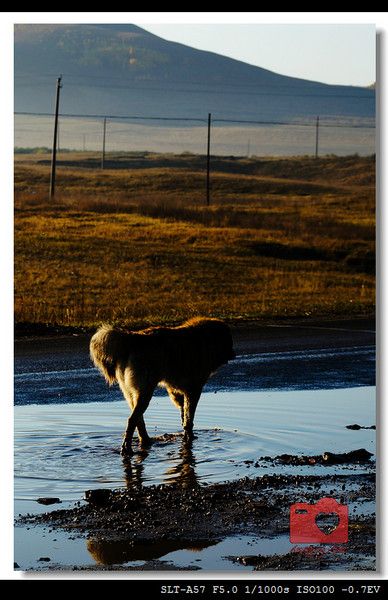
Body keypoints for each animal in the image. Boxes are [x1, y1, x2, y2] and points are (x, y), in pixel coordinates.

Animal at [90, 318, 236, 454]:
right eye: (229, 340)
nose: (233, 354)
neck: (205, 340)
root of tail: (134, 337)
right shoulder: (193, 390)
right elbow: (189, 417)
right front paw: (189, 435)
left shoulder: (175, 391)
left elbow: (183, 415)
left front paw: (186, 435)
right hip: (145, 391)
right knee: (132, 420)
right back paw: (127, 448)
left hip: (131, 393)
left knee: (139, 421)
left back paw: (145, 441)